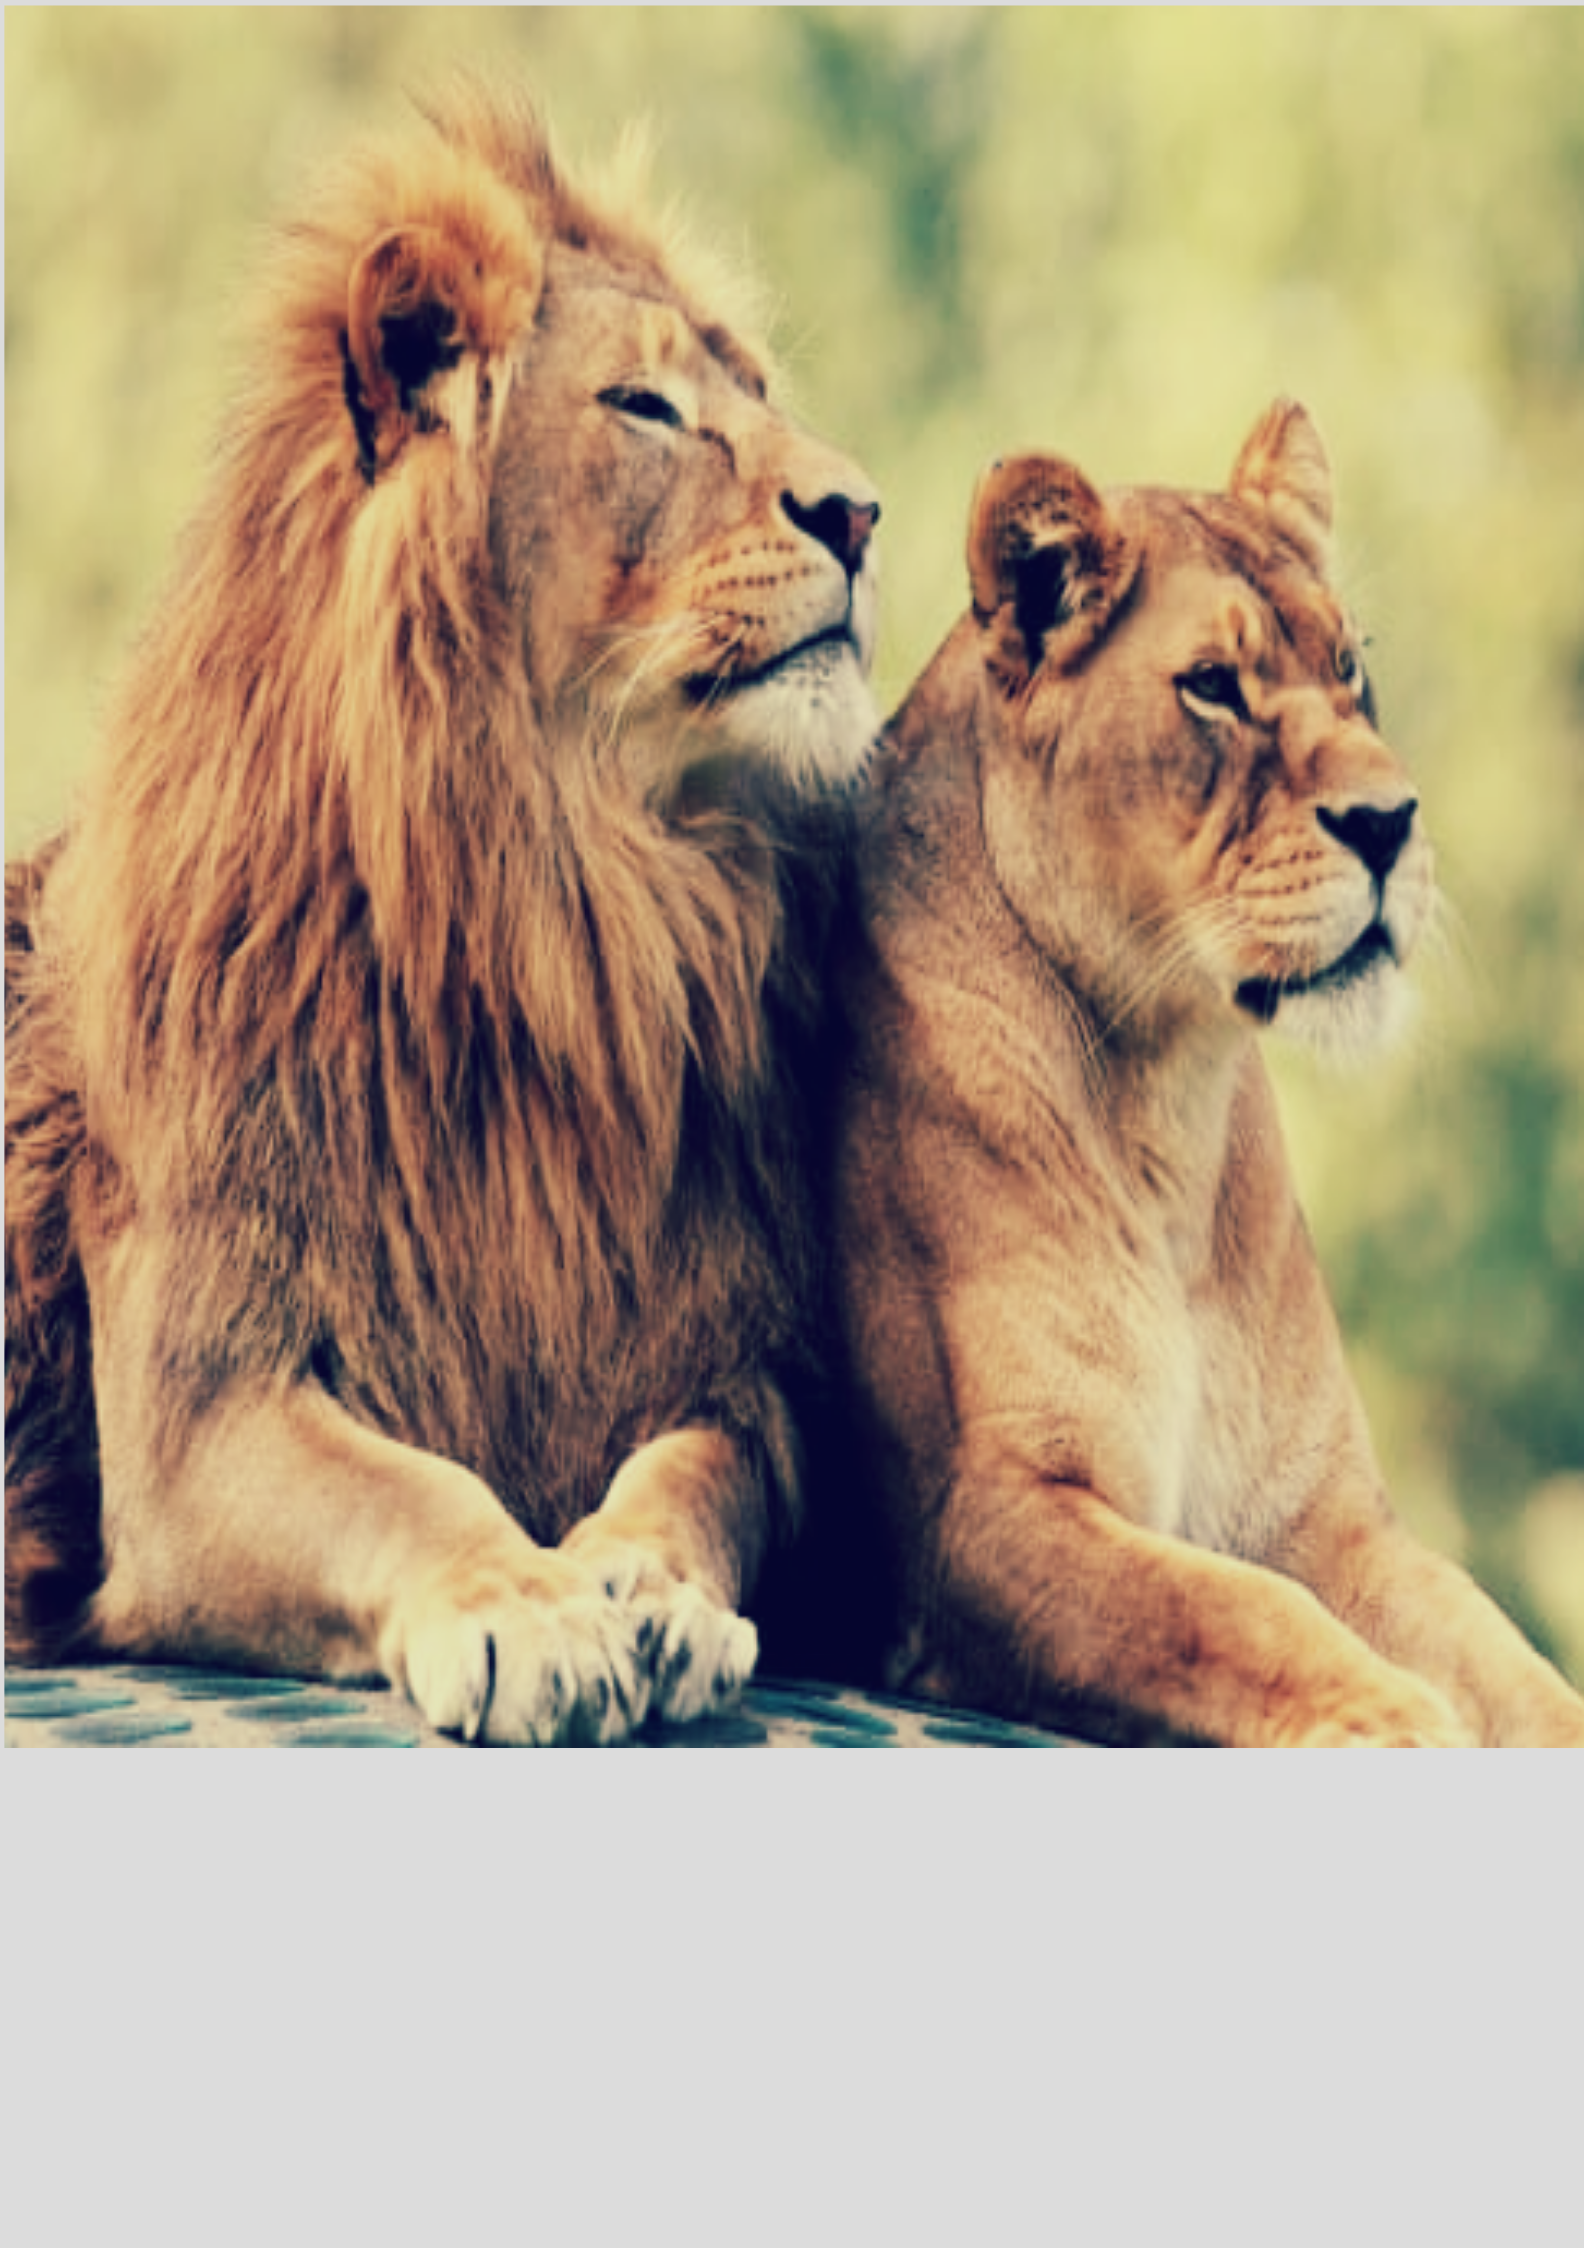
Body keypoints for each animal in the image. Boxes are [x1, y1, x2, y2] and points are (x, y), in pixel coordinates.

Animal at [4, 84, 881, 1743]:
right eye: (645, 408)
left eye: (754, 389)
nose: (861, 510)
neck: (566, 898)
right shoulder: (195, 1408)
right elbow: (406, 1492)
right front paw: (523, 1609)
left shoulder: (739, 1366)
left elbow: (693, 1480)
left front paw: (645, 1590)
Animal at [823, 399, 1584, 1746]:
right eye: (1214, 688)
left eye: (1350, 667)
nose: (1391, 821)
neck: (1166, 1091)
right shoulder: (987, 1519)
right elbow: (1238, 1614)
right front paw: (1402, 1722)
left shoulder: (1329, 1517)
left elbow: (1506, 1658)